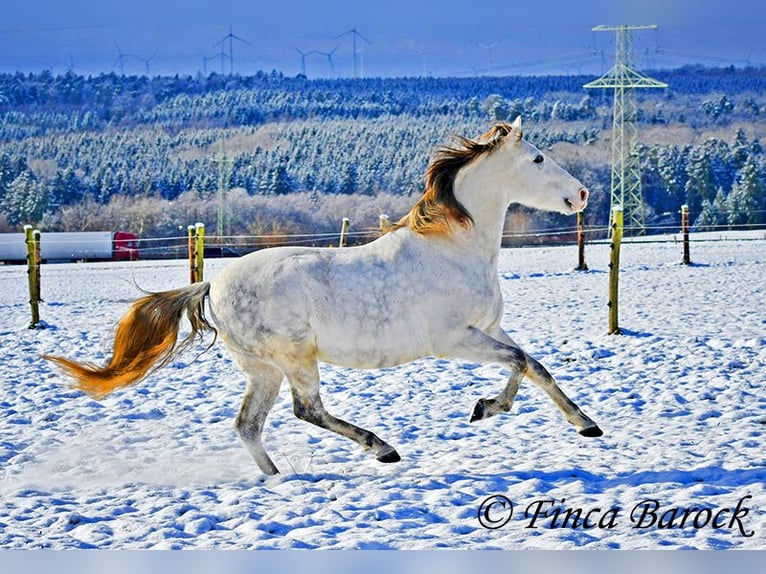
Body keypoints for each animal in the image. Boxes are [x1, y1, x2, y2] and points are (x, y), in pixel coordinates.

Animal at [45, 117, 604, 476]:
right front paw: (485, 409)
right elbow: (519, 363)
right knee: (306, 410)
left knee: (248, 425)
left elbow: (535, 365)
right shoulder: (454, 340)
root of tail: (212, 284)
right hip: (295, 358)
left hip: (264, 369)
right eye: (538, 158)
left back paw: (278, 477)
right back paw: (382, 449)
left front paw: (586, 426)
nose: (581, 195)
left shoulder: (488, 329)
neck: (455, 247)